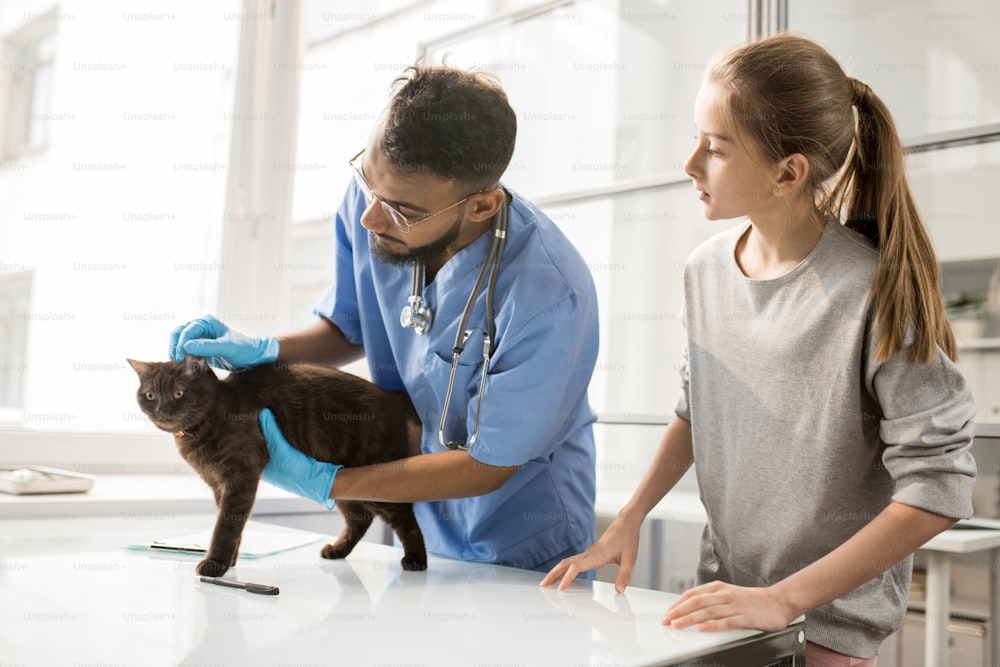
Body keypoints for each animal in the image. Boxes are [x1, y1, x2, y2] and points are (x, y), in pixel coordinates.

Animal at [125, 358, 426, 576]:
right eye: (150, 395)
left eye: (178, 393)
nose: (161, 410)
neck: (208, 420)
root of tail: (394, 396)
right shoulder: (218, 485)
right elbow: (231, 523)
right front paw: (230, 561)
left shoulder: (241, 477)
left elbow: (226, 526)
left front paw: (216, 564)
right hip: (345, 482)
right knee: (360, 519)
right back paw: (337, 551)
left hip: (379, 479)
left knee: (406, 520)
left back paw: (416, 559)